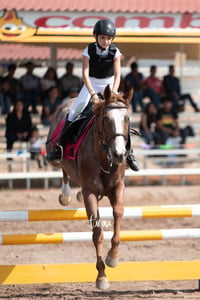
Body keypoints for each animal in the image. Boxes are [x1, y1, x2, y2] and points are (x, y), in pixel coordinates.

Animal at [45, 85, 133, 290]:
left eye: (127, 118)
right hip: (55, 156)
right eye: (106, 119)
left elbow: (118, 212)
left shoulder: (118, 187)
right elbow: (97, 232)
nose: (119, 154)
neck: (105, 158)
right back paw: (66, 195)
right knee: (63, 169)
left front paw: (113, 257)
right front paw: (101, 276)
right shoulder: (90, 193)